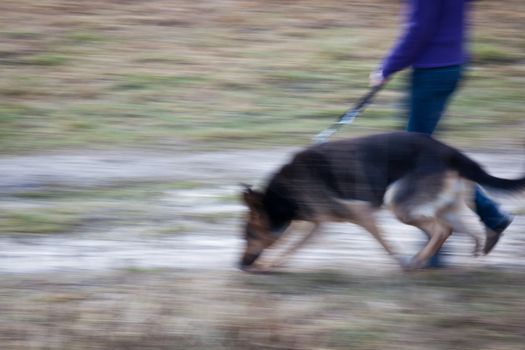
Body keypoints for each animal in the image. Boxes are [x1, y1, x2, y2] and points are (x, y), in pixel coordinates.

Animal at [238, 131, 524, 270]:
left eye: (249, 235)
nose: (239, 265)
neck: (282, 196)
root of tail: (448, 151)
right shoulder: (313, 222)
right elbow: (291, 242)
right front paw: (270, 262)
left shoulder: (357, 214)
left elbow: (384, 243)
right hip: (445, 207)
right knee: (464, 229)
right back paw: (475, 250)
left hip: (399, 205)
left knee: (442, 229)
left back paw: (417, 261)